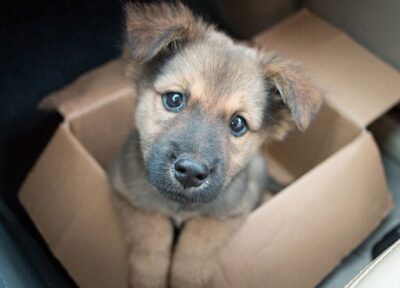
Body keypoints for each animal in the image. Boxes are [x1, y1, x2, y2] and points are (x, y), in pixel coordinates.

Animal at [108, 2, 322, 288]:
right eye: (174, 99)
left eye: (238, 124)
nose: (190, 172)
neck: (181, 206)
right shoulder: (125, 193)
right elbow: (151, 233)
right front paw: (149, 277)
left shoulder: (231, 212)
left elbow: (198, 241)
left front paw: (187, 279)